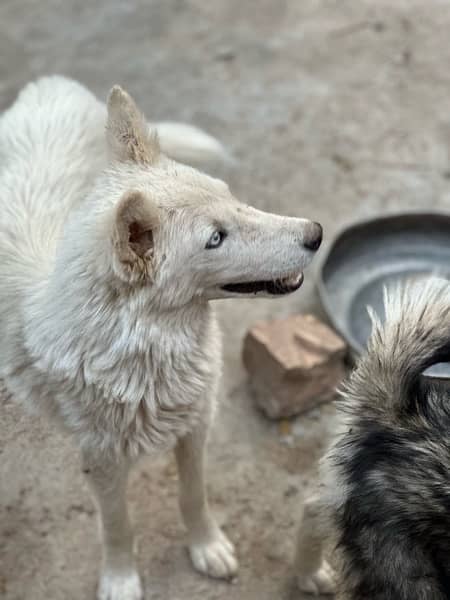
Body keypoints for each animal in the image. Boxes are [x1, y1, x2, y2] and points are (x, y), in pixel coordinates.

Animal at [0, 77, 324, 596]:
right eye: (216, 238)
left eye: (232, 197)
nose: (315, 233)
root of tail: (51, 84)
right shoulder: (102, 462)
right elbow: (118, 526)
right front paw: (120, 580)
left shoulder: (197, 425)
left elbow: (194, 496)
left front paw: (207, 548)